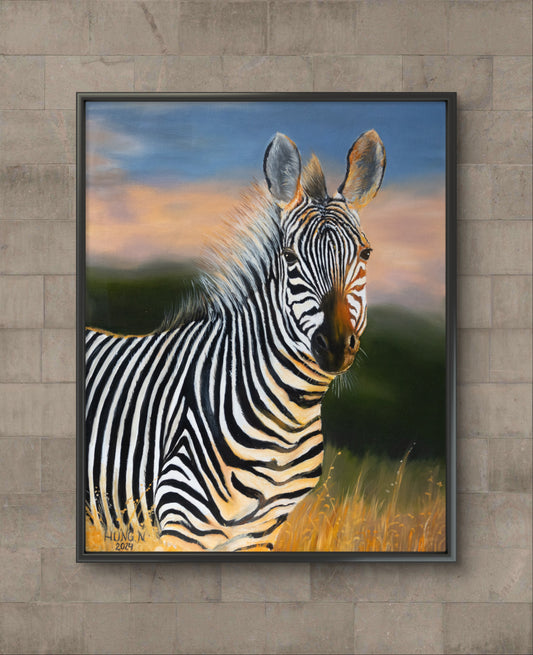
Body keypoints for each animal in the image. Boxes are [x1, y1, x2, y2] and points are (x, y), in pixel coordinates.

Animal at [85, 129, 386, 552]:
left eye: (366, 253)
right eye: (289, 257)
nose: (336, 344)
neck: (287, 420)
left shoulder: (260, 532)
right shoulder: (182, 525)